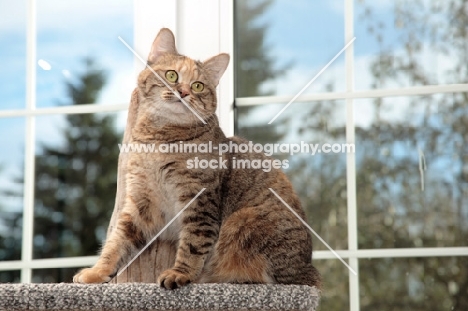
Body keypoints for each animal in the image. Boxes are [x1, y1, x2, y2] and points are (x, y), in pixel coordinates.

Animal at [74, 28, 322, 292]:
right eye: (171, 75)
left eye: (198, 85)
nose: (183, 92)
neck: (159, 139)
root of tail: (310, 271)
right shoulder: (141, 203)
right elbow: (117, 242)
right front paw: (96, 272)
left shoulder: (199, 201)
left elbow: (192, 244)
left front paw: (180, 273)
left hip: (243, 220)